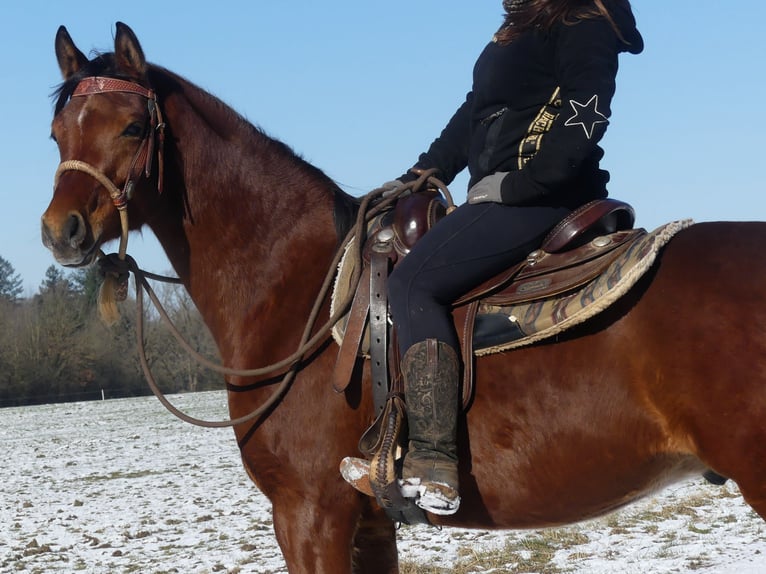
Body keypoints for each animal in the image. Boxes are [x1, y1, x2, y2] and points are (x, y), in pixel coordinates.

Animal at [40, 20, 766, 572]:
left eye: (133, 128)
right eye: (56, 134)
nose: (59, 231)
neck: (294, 287)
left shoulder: (309, 515)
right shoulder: (368, 524)